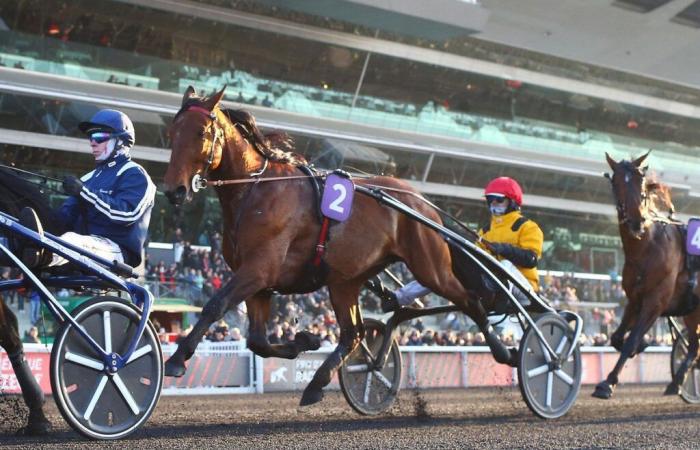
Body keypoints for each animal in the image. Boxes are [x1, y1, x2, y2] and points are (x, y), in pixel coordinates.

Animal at [161, 86, 516, 406]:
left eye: (201, 132)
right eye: (172, 133)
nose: (174, 190)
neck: (256, 189)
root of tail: (420, 201)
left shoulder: (259, 270)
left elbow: (215, 305)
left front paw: (177, 359)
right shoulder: (258, 282)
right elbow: (257, 341)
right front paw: (304, 340)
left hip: (430, 267)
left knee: (470, 299)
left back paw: (505, 350)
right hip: (345, 279)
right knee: (354, 333)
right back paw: (319, 383)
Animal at [592, 153, 700, 400]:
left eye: (641, 181)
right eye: (616, 182)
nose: (636, 220)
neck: (648, 248)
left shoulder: (656, 301)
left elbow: (631, 340)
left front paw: (608, 383)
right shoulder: (634, 299)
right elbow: (617, 338)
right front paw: (640, 346)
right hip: (692, 311)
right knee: (694, 348)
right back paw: (675, 383)